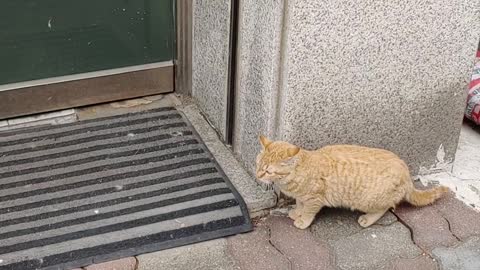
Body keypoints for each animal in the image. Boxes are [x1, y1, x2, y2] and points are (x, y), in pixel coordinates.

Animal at [256, 136, 448, 229]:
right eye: (257, 163)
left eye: (268, 171)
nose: (257, 175)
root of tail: (407, 174)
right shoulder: (302, 197)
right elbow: (299, 204)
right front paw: (297, 213)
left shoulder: (314, 199)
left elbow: (309, 211)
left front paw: (303, 220)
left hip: (368, 200)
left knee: (387, 207)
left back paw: (367, 219)